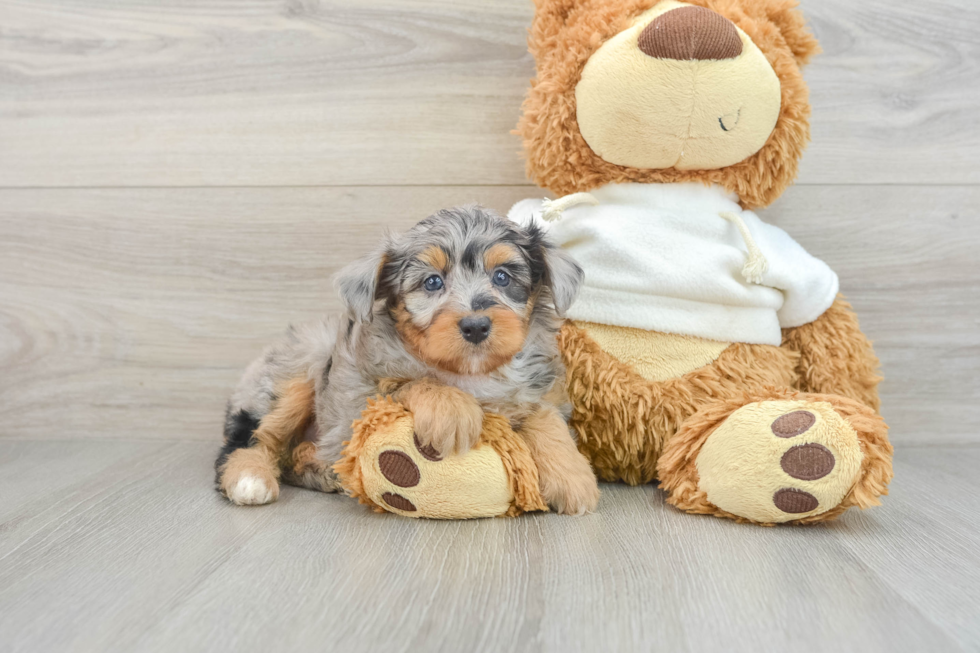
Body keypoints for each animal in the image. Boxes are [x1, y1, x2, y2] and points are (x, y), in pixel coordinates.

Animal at [213, 204, 596, 516]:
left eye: (502, 276)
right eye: (432, 282)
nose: (476, 325)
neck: (469, 371)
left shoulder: (536, 387)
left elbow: (545, 417)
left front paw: (572, 476)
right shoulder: (363, 398)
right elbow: (411, 382)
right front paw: (451, 410)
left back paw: (321, 470)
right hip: (298, 368)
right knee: (251, 439)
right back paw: (250, 479)